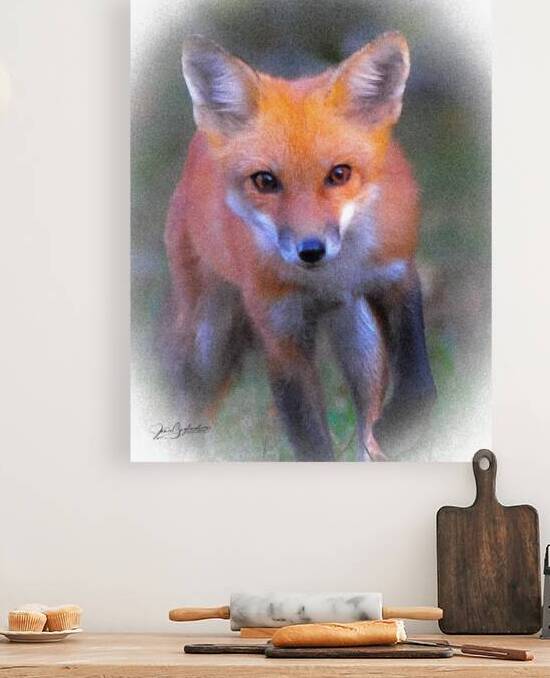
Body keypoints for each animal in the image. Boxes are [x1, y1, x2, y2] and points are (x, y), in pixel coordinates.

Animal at [163, 32, 436, 461]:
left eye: (339, 174)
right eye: (264, 181)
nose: (311, 250)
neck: (331, 277)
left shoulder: (398, 276)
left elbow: (419, 382)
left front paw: (402, 425)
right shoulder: (282, 335)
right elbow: (311, 440)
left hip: (357, 332)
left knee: (366, 413)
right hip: (211, 337)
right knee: (189, 392)